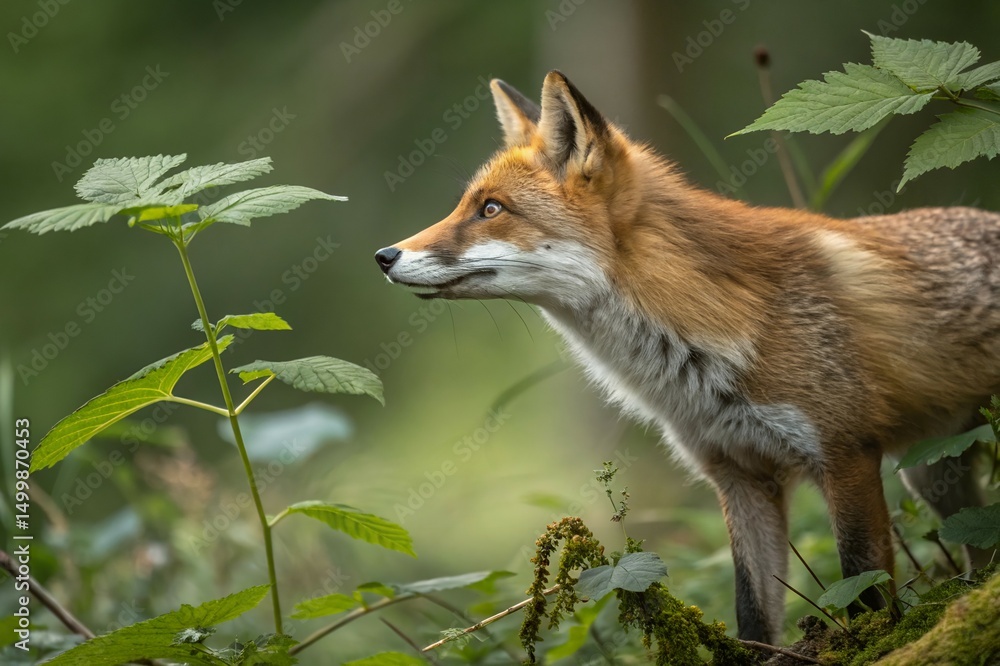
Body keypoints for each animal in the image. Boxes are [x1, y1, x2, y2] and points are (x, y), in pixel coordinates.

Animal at [374, 71, 998, 643]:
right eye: (469, 205)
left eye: (491, 209)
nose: (384, 255)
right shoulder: (738, 476)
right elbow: (752, 616)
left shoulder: (845, 455)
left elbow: (863, 590)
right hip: (934, 472)